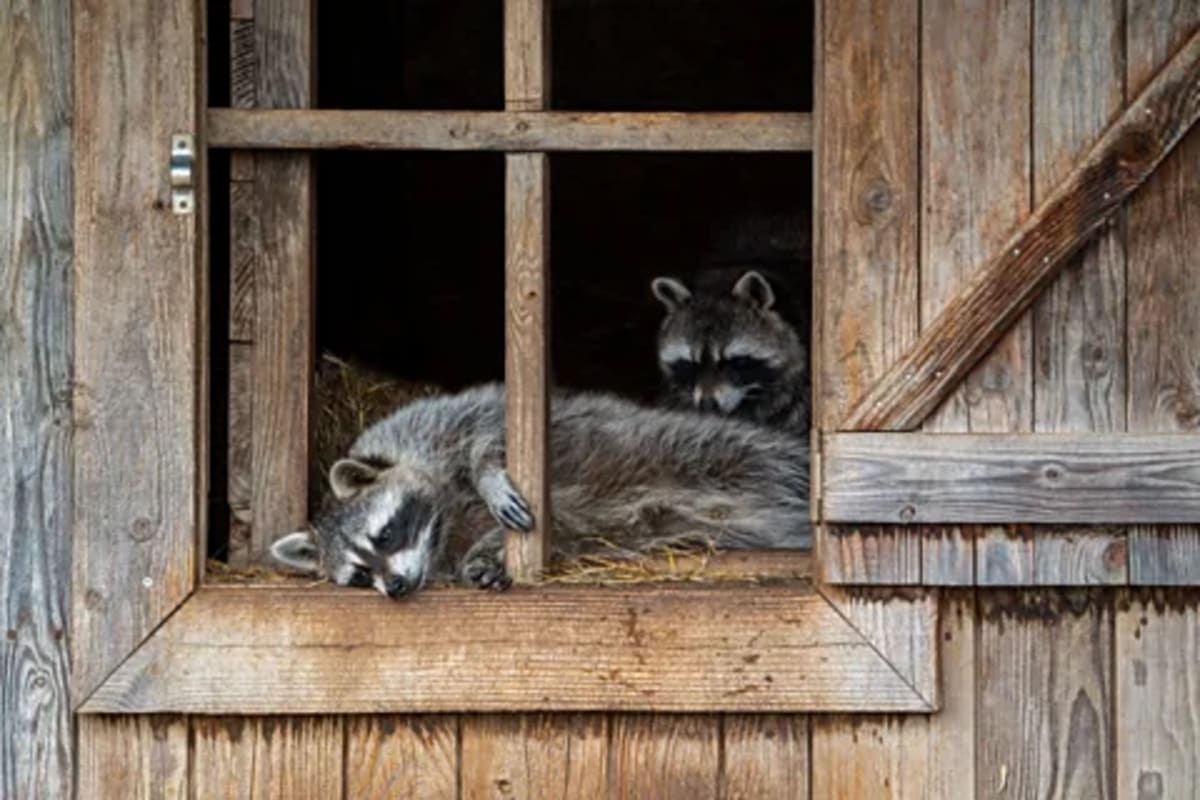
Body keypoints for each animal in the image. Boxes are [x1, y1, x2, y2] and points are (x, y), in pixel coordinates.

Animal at [271, 383, 810, 598]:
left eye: (384, 535)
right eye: (360, 575)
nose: (397, 588)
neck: (443, 525)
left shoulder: (438, 422)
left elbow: (492, 431)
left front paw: (488, 473)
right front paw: (481, 558)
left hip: (716, 450)